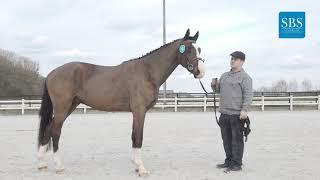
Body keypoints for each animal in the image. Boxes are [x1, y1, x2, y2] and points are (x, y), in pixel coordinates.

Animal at [37, 28, 205, 176]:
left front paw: (136, 165)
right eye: (188, 49)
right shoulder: (139, 110)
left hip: (71, 105)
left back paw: (41, 164)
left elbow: (133, 135)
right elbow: (139, 137)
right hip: (62, 107)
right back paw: (58, 166)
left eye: (199, 49)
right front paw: (142, 169)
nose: (201, 72)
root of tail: (51, 73)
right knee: (55, 131)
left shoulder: (136, 112)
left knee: (48, 129)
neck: (147, 72)